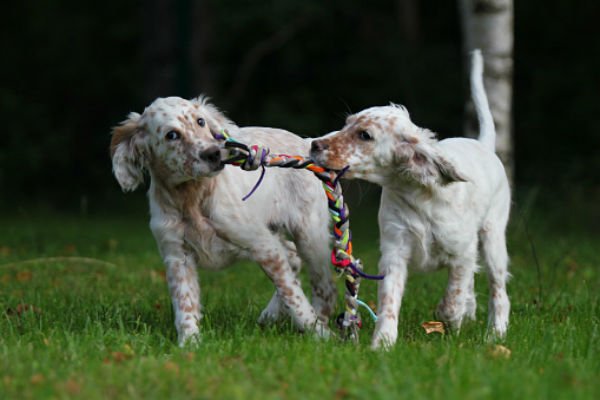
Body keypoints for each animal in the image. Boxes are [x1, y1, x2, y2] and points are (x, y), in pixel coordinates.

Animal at [111, 95, 338, 346]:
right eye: (172, 135)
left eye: (200, 121)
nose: (213, 154)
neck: (192, 197)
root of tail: (305, 143)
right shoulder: (177, 255)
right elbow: (184, 304)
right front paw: (189, 343)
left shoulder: (262, 245)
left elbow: (292, 294)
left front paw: (318, 332)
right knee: (293, 256)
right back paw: (269, 316)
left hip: (309, 234)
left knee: (324, 287)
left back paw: (318, 325)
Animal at [310, 50, 510, 350]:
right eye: (346, 124)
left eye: (365, 135)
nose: (314, 144)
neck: (418, 196)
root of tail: (482, 145)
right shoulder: (394, 250)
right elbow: (389, 300)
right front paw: (382, 343)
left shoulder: (461, 250)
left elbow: (452, 298)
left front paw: (450, 319)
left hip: (493, 236)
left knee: (499, 291)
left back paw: (495, 333)